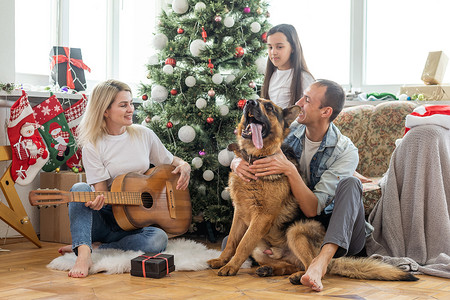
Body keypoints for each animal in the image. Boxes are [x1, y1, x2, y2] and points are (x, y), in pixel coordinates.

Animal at [207, 99, 418, 284]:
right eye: (254, 100)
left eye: (269, 107)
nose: (249, 102)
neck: (255, 157)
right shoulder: (240, 213)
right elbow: (233, 240)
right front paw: (222, 260)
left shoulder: (262, 217)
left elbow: (242, 245)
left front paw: (231, 266)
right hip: (259, 248)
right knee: (291, 264)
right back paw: (271, 270)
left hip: (295, 231)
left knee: (311, 265)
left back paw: (304, 277)